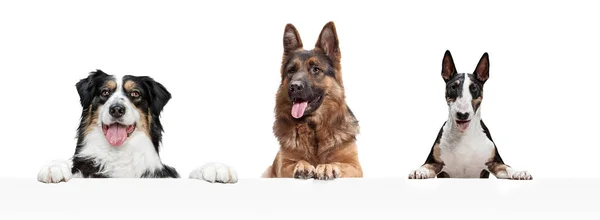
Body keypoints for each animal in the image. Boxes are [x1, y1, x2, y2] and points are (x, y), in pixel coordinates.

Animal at [35, 70, 239, 184]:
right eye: (104, 92)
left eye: (135, 94)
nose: (117, 109)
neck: (119, 153)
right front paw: (54, 167)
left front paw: (215, 168)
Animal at [262, 21, 364, 180]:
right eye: (291, 71)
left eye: (316, 69)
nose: (294, 86)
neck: (314, 127)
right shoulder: (282, 166)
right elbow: (296, 161)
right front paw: (303, 165)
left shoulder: (355, 167)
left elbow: (337, 163)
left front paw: (327, 166)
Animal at [408, 50, 536, 180]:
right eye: (453, 87)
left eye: (474, 88)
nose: (462, 114)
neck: (464, 135)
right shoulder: (434, 162)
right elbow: (425, 166)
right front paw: (419, 171)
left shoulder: (494, 163)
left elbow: (506, 167)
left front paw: (519, 172)